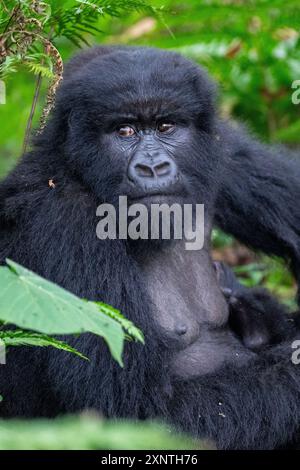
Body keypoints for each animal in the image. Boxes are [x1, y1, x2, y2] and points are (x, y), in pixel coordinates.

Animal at [0, 46, 300, 448]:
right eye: (124, 130)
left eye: (165, 127)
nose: (153, 167)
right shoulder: (61, 217)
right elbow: (138, 415)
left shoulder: (221, 147)